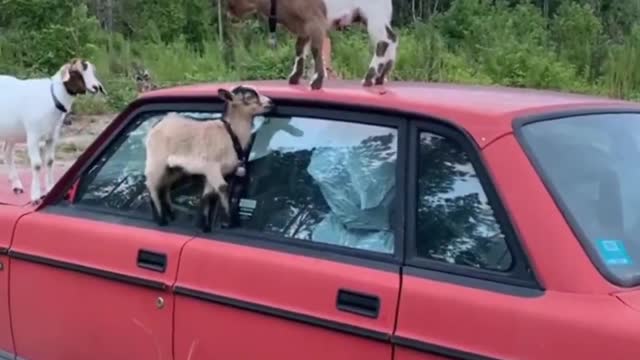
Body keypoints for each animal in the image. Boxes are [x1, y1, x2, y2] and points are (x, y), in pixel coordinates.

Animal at [0, 58, 106, 204]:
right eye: (76, 72)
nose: (96, 87)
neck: (53, 96)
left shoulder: (52, 136)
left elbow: (49, 161)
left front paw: (49, 189)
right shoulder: (33, 136)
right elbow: (37, 164)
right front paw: (36, 196)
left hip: (12, 133)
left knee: (7, 152)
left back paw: (17, 186)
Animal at [144, 84, 274, 231]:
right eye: (249, 97)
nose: (271, 103)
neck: (230, 134)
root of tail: (156, 125)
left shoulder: (212, 172)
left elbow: (207, 195)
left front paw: (204, 226)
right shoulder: (211, 166)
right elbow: (223, 187)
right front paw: (230, 222)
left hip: (174, 168)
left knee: (165, 185)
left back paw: (171, 214)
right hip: (156, 159)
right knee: (151, 184)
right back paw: (161, 219)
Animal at [225, 0, 396, 90]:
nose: (229, 12)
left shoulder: (315, 21)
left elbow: (315, 49)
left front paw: (316, 81)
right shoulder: (303, 27)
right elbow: (299, 49)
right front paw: (294, 77)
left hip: (374, 15)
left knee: (383, 41)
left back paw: (368, 78)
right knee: (392, 38)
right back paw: (381, 77)